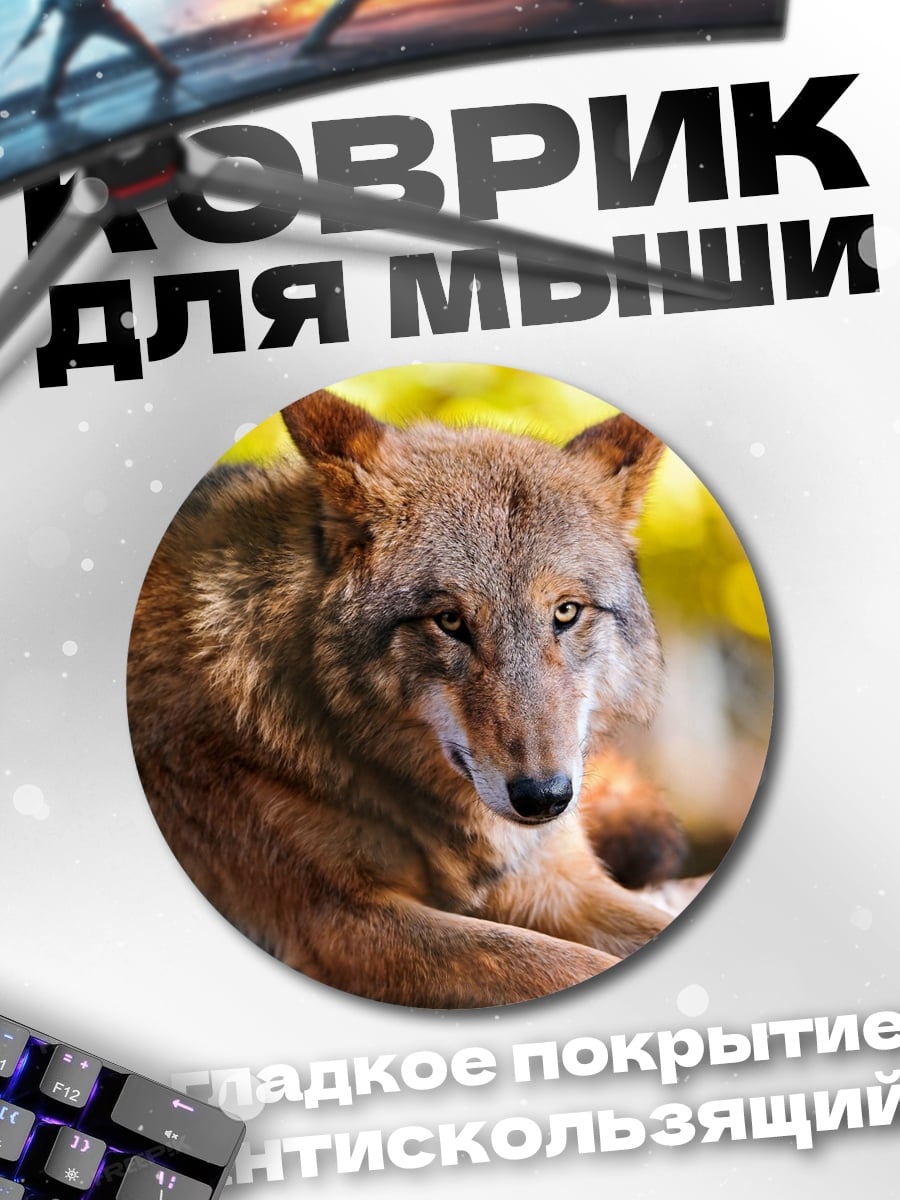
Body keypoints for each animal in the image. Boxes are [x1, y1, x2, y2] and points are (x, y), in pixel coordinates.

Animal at [127, 389, 687, 1008]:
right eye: (450, 621)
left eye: (566, 612)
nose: (544, 798)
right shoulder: (344, 921)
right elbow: (567, 965)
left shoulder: (551, 881)